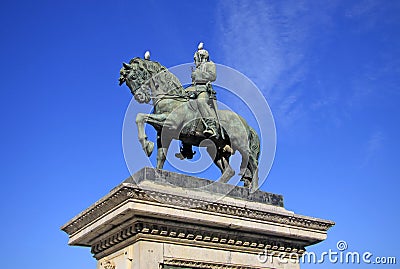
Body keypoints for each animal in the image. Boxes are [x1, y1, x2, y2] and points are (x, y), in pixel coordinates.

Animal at [118, 57, 262, 191]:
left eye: (134, 77)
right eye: (127, 82)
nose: (140, 97)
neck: (170, 99)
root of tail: (246, 124)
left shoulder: (170, 123)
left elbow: (140, 117)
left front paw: (146, 144)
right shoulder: (163, 134)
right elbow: (161, 155)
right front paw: (156, 171)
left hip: (241, 145)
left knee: (253, 164)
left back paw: (253, 189)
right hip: (216, 149)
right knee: (229, 171)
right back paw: (215, 186)